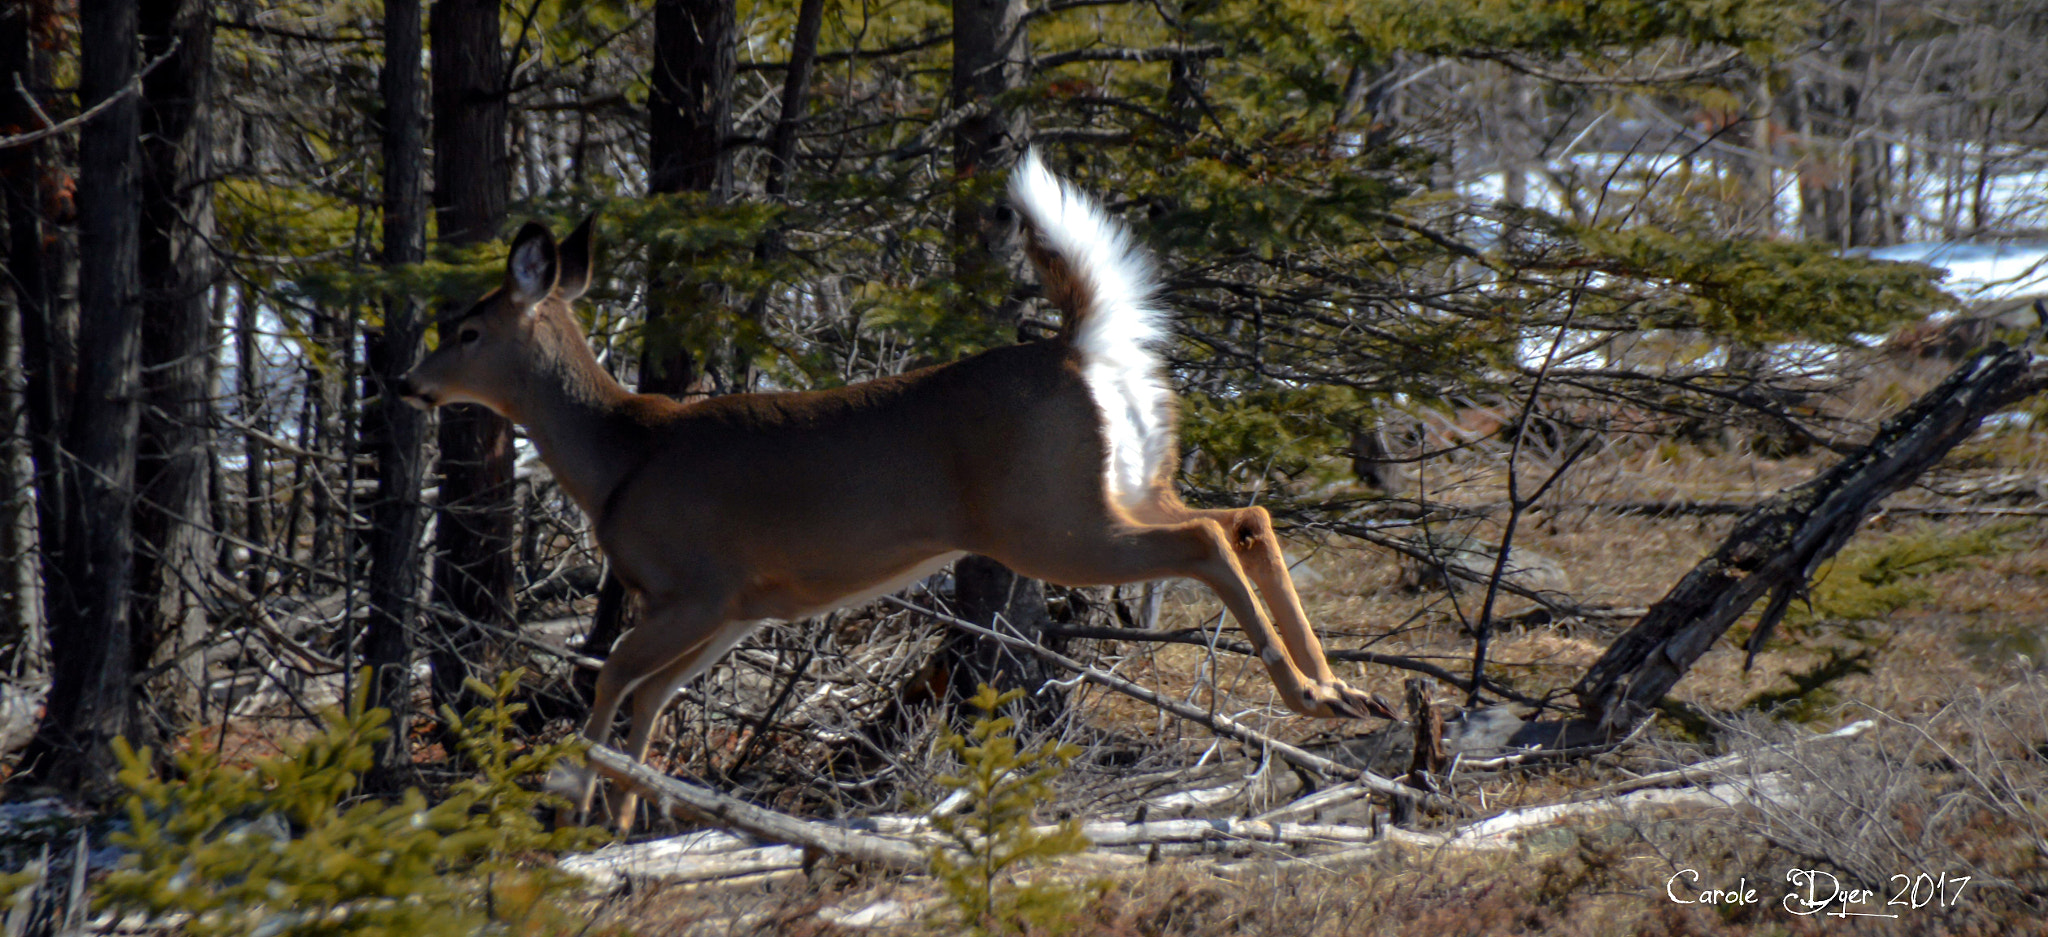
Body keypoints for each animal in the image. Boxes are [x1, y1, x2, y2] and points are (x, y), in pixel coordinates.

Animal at [398, 152, 1395, 828]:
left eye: (467, 329)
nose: (411, 383)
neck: (618, 456)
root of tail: (1080, 345)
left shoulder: (697, 585)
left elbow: (609, 683)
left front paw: (579, 810)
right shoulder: (737, 607)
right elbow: (647, 698)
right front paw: (620, 821)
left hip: (1051, 519)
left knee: (1208, 538)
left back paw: (1310, 694)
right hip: (1130, 482)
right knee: (1247, 512)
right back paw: (1343, 690)